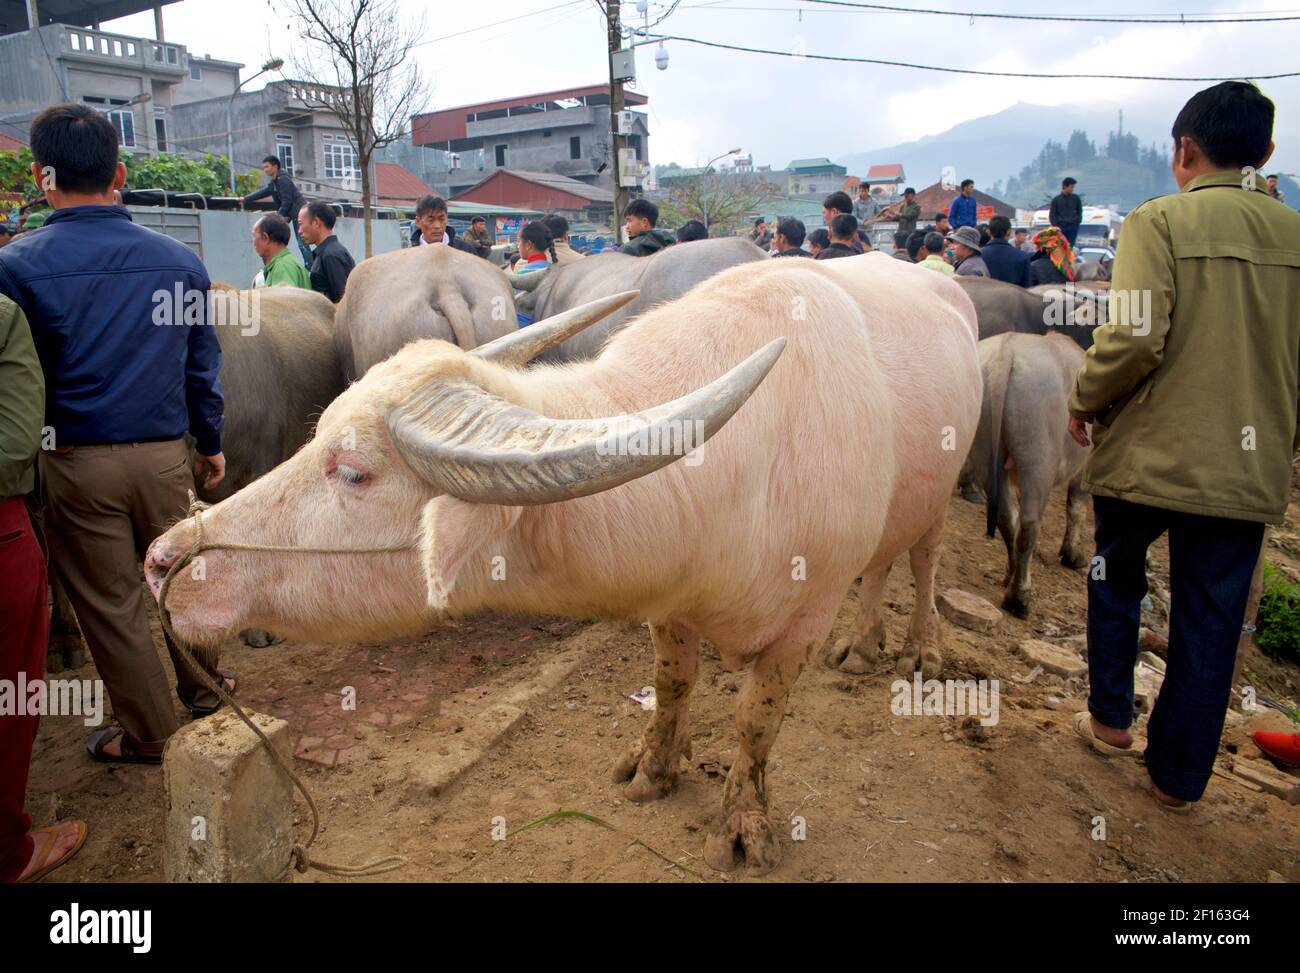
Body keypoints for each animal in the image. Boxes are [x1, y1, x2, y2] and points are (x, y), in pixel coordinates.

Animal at [972, 335, 1092, 616]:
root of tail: (1005, 353)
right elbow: (1077, 506)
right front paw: (1073, 555)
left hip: (983, 446)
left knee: (1007, 517)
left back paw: (1011, 575)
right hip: (1038, 457)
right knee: (1029, 524)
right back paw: (1019, 597)